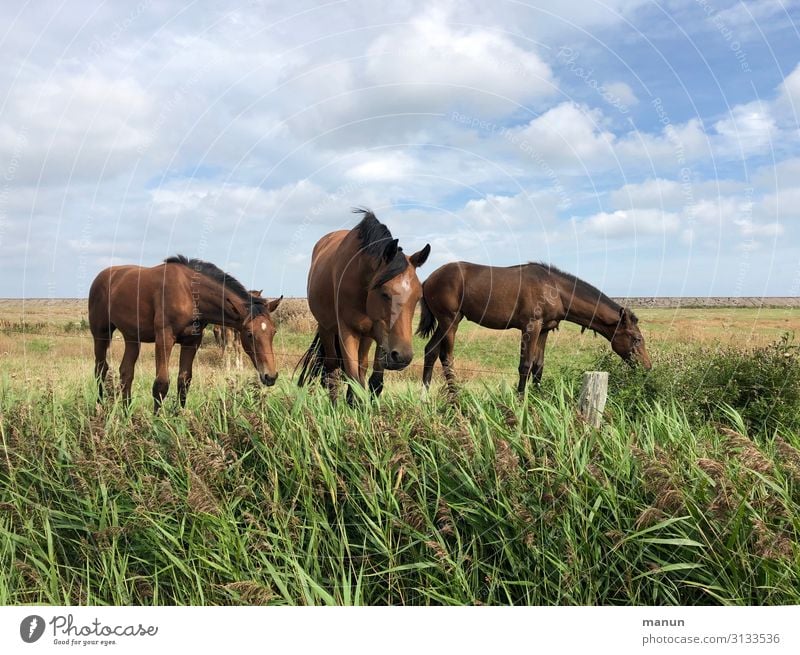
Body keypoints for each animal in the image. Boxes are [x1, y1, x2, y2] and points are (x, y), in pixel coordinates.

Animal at [89, 256, 282, 410]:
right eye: (249, 333)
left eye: (273, 332)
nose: (270, 376)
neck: (190, 293)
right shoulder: (164, 338)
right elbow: (161, 384)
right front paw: (157, 424)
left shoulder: (192, 341)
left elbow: (184, 381)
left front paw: (179, 417)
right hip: (101, 333)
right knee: (101, 369)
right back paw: (100, 409)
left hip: (131, 338)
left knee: (126, 373)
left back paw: (126, 414)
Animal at [296, 209, 432, 400]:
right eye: (384, 293)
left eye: (418, 296)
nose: (402, 357)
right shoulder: (347, 331)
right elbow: (353, 380)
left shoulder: (378, 335)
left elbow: (373, 381)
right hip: (326, 330)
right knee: (333, 373)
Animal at [416, 262, 652, 394]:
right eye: (637, 339)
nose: (647, 367)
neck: (554, 289)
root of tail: (428, 279)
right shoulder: (530, 327)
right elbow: (525, 366)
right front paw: (521, 400)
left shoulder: (544, 330)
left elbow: (538, 367)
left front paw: (538, 398)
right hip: (450, 321)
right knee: (445, 356)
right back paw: (455, 395)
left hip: (446, 323)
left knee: (431, 351)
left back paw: (425, 393)